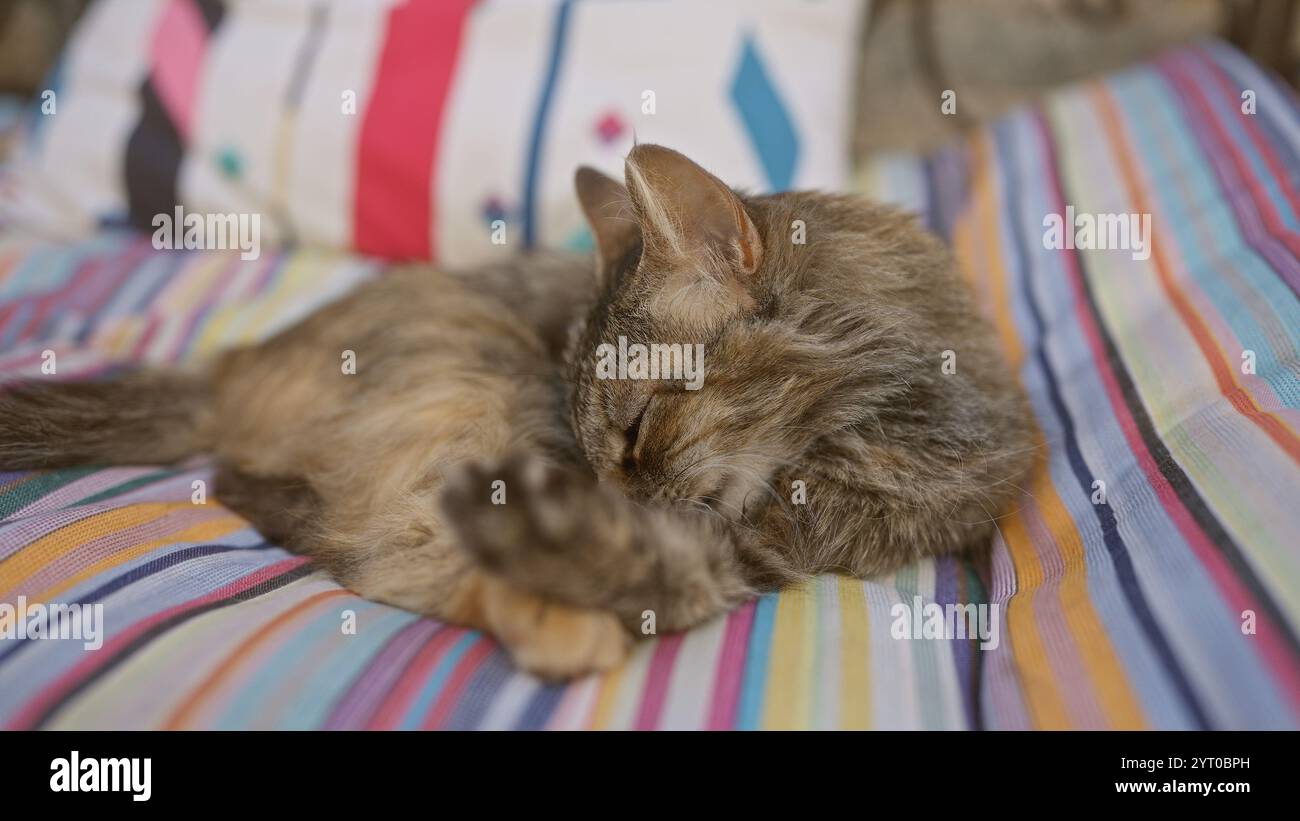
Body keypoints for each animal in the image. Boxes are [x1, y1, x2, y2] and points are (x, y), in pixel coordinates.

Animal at [0, 146, 1034, 680]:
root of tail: (228, 364)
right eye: (601, 449)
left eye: (637, 430)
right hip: (475, 390)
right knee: (394, 553)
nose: (609, 491)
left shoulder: (778, 537)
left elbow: (670, 569)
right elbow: (654, 570)